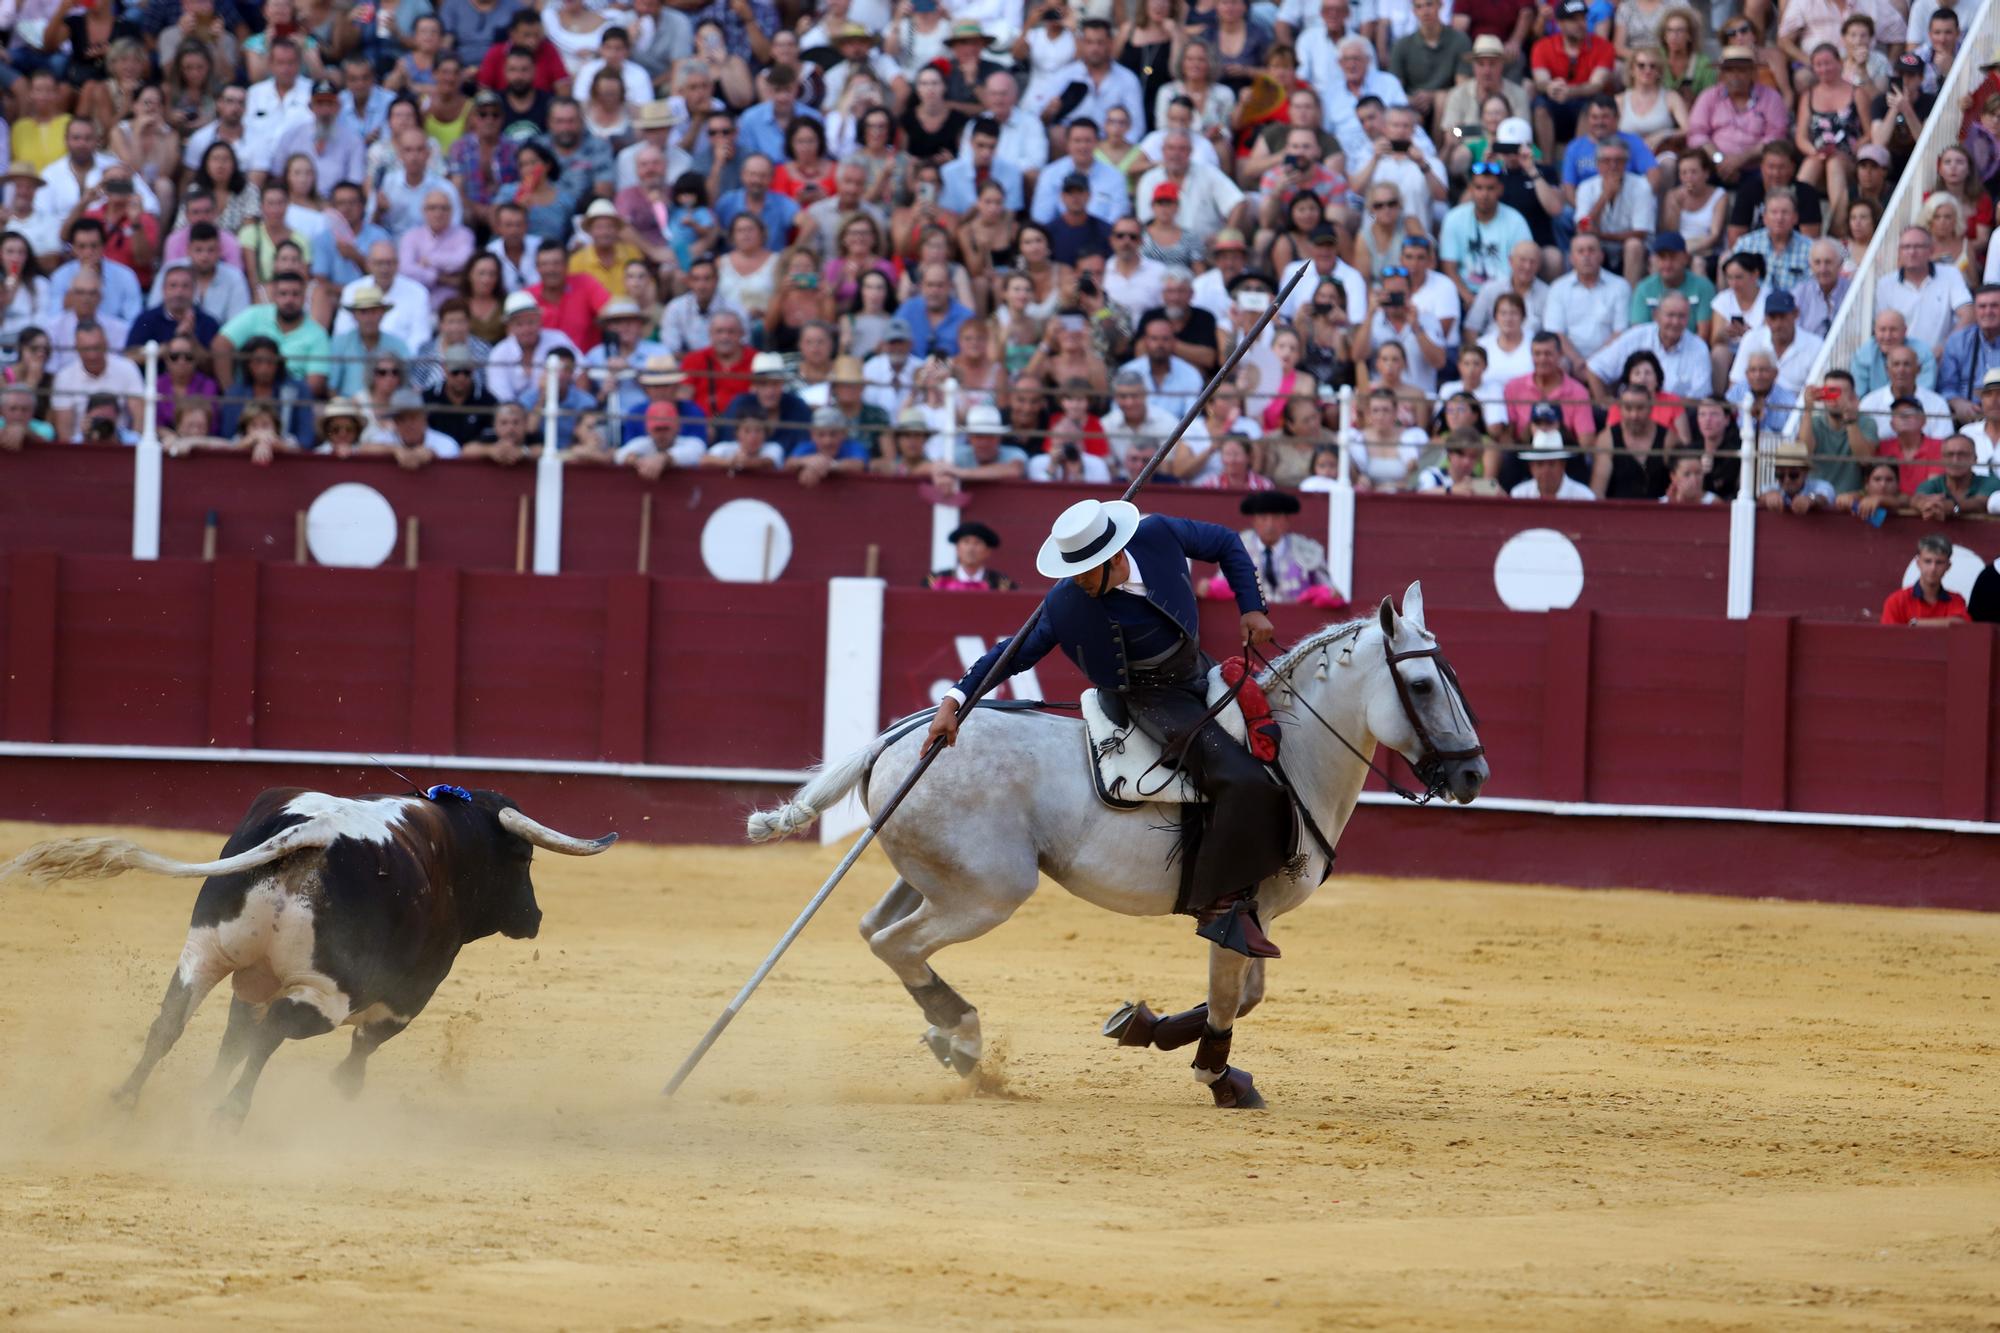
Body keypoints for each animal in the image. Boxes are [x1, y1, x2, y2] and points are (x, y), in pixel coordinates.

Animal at [0, 784, 616, 1112]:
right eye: (524, 859)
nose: (534, 918)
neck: (450, 844)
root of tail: (315, 833)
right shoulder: (404, 1001)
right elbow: (363, 1043)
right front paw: (345, 1087)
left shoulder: (251, 977)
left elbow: (231, 1037)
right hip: (327, 991)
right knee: (275, 1030)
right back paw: (229, 1114)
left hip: (206, 951)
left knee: (172, 1021)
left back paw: (125, 1100)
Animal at [744, 580, 1480, 1096]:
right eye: (1420, 684)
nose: (1473, 772)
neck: (1290, 754)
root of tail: (902, 738)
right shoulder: (1237, 910)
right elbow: (1228, 995)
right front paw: (1219, 1078)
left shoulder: (1258, 913)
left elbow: (1247, 994)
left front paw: (1140, 1025)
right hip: (989, 892)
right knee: (898, 942)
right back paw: (970, 1042)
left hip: (934, 876)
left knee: (877, 929)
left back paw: (948, 1038)